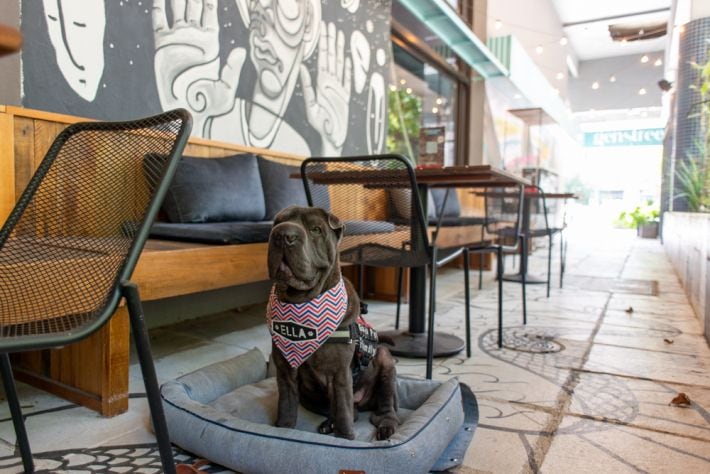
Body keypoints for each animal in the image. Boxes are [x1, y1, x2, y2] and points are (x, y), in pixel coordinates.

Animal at [268, 206, 400, 438]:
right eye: (277, 223)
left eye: (315, 229)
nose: (282, 235)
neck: (301, 303)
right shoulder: (285, 369)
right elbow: (286, 403)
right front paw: (283, 429)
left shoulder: (339, 374)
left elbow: (343, 410)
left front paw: (345, 438)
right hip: (309, 397)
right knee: (351, 412)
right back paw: (330, 423)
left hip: (384, 360)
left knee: (383, 407)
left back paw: (386, 425)